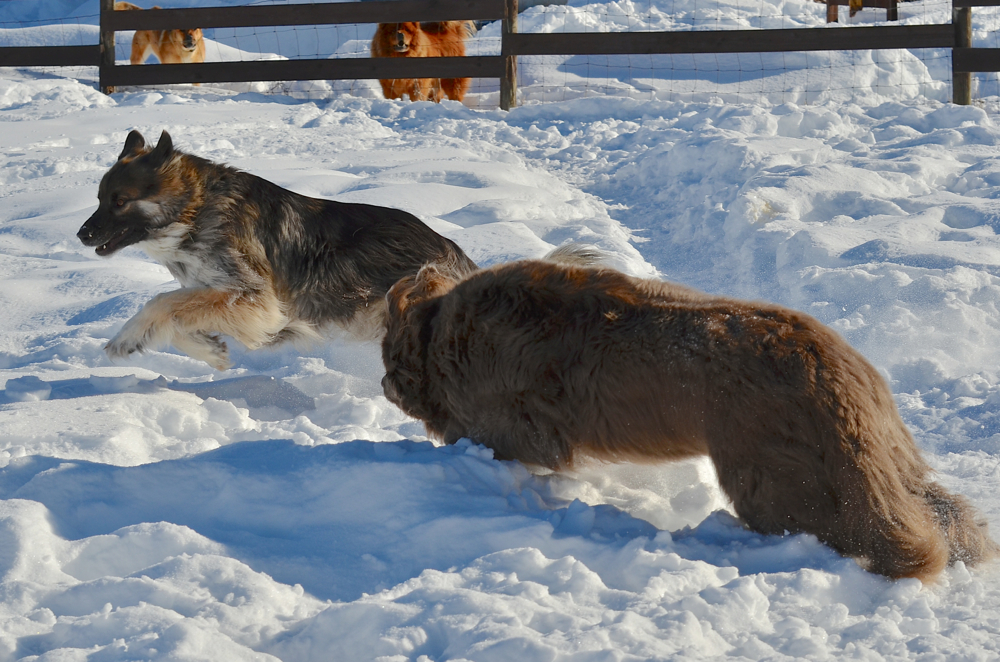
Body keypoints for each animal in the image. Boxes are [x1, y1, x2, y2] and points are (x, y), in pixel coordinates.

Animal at [76, 129, 477, 371]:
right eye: (98, 198)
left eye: (120, 201)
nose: (81, 235)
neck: (195, 210)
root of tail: (457, 256)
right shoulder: (223, 296)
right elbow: (176, 318)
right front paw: (210, 351)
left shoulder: (254, 299)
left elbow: (160, 303)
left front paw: (125, 338)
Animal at [381, 256, 998, 581]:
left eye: (385, 356)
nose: (385, 385)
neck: (438, 333)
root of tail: (838, 368)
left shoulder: (511, 424)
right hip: (885, 456)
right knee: (939, 507)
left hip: (773, 476)